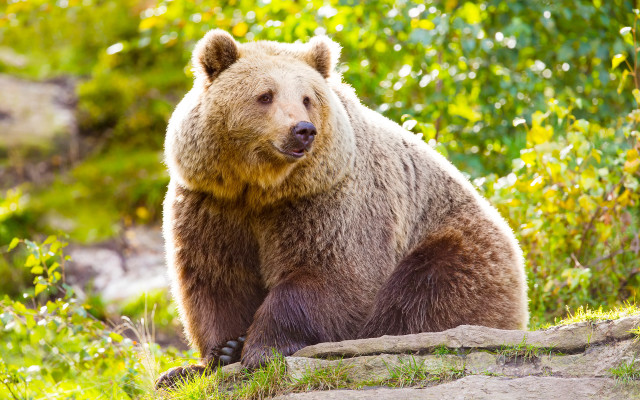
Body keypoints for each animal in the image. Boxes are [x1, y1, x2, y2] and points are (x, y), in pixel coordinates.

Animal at [155, 29, 528, 388]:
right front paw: (219, 352)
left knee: (427, 295)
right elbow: (216, 278)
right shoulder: (212, 202)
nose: (303, 130)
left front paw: (262, 349)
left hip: (453, 246)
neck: (262, 188)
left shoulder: (327, 199)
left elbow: (327, 273)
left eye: (307, 98)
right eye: (265, 95)